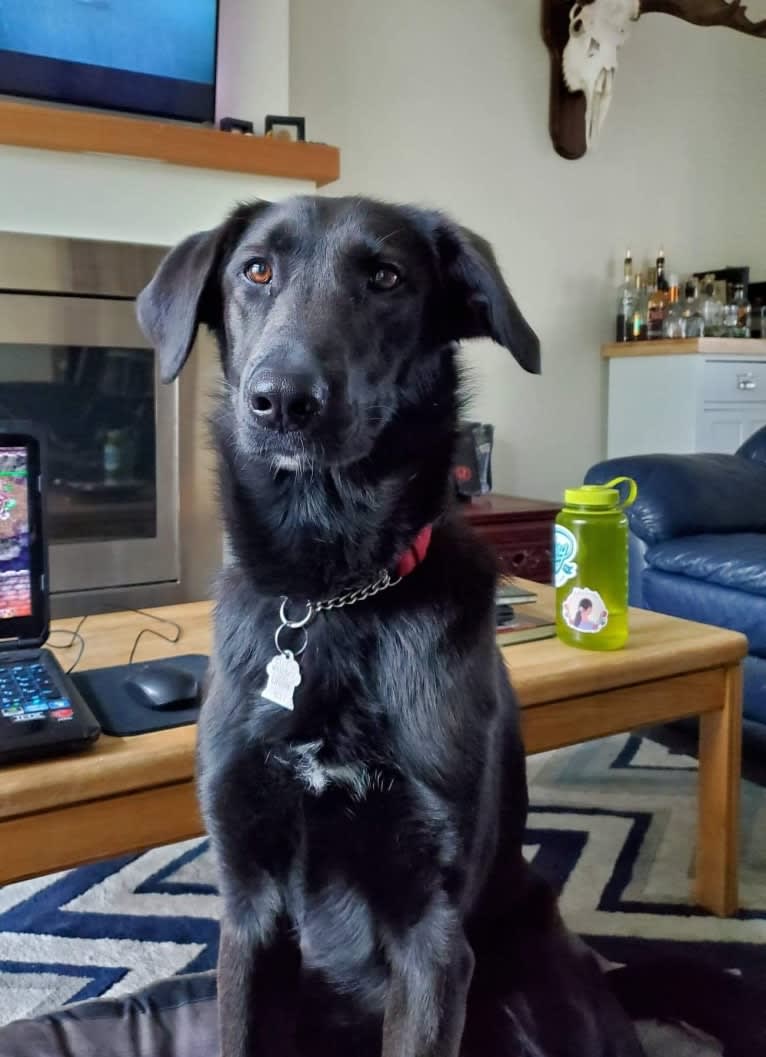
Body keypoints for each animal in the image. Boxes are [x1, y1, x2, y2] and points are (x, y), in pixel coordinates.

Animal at [134, 198, 743, 1057]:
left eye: (386, 278)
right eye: (256, 270)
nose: (283, 399)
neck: (335, 594)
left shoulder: (432, 933)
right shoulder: (247, 911)